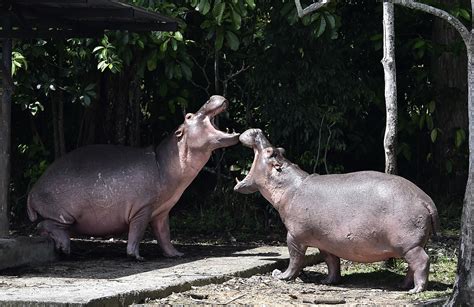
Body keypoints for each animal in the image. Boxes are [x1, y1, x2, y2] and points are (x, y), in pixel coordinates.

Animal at [27, 95, 239, 262]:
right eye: (188, 116)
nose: (212, 97)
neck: (166, 161)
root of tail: (31, 192)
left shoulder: (162, 211)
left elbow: (164, 235)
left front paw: (177, 255)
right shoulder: (143, 208)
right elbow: (137, 232)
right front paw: (137, 257)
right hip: (64, 215)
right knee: (44, 225)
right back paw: (65, 247)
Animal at [235, 129, 438, 294]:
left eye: (270, 152)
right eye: (281, 149)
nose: (257, 130)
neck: (288, 186)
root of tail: (426, 200)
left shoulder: (294, 236)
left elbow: (295, 258)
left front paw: (281, 275)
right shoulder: (325, 241)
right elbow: (331, 262)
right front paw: (328, 281)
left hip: (409, 245)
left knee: (422, 261)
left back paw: (415, 290)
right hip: (415, 244)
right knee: (412, 266)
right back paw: (402, 285)